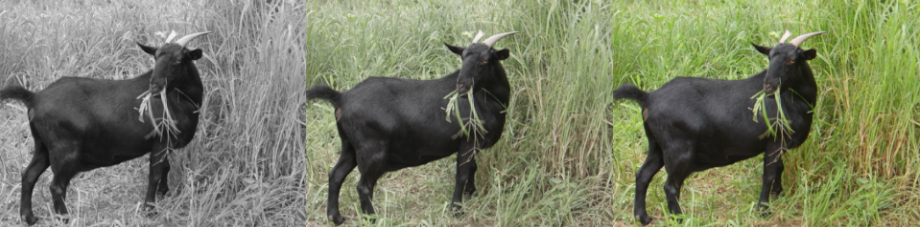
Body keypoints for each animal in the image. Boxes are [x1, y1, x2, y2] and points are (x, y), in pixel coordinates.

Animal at [0, 31, 208, 225]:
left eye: (179, 60)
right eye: (155, 57)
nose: (155, 87)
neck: (179, 100)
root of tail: (34, 98)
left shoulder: (164, 144)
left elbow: (165, 167)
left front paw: (164, 193)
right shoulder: (161, 140)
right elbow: (155, 174)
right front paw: (150, 209)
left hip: (42, 144)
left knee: (28, 175)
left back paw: (29, 218)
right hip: (65, 150)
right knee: (56, 186)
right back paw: (65, 218)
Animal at [310, 30, 516, 225]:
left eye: (485, 60)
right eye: (462, 57)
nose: (461, 86)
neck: (486, 100)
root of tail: (341, 98)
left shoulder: (471, 143)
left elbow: (472, 168)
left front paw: (471, 194)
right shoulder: (468, 140)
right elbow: (462, 174)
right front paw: (457, 209)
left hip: (349, 145)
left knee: (335, 175)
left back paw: (335, 217)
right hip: (372, 150)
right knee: (363, 187)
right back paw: (373, 219)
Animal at [616, 30, 824, 225]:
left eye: (792, 60)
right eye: (770, 57)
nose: (768, 86)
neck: (793, 101)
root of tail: (648, 98)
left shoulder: (778, 143)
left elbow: (779, 168)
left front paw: (778, 194)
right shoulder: (774, 140)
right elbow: (769, 174)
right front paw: (763, 209)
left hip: (656, 145)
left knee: (642, 175)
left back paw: (642, 217)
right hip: (679, 149)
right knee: (670, 186)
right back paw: (680, 219)